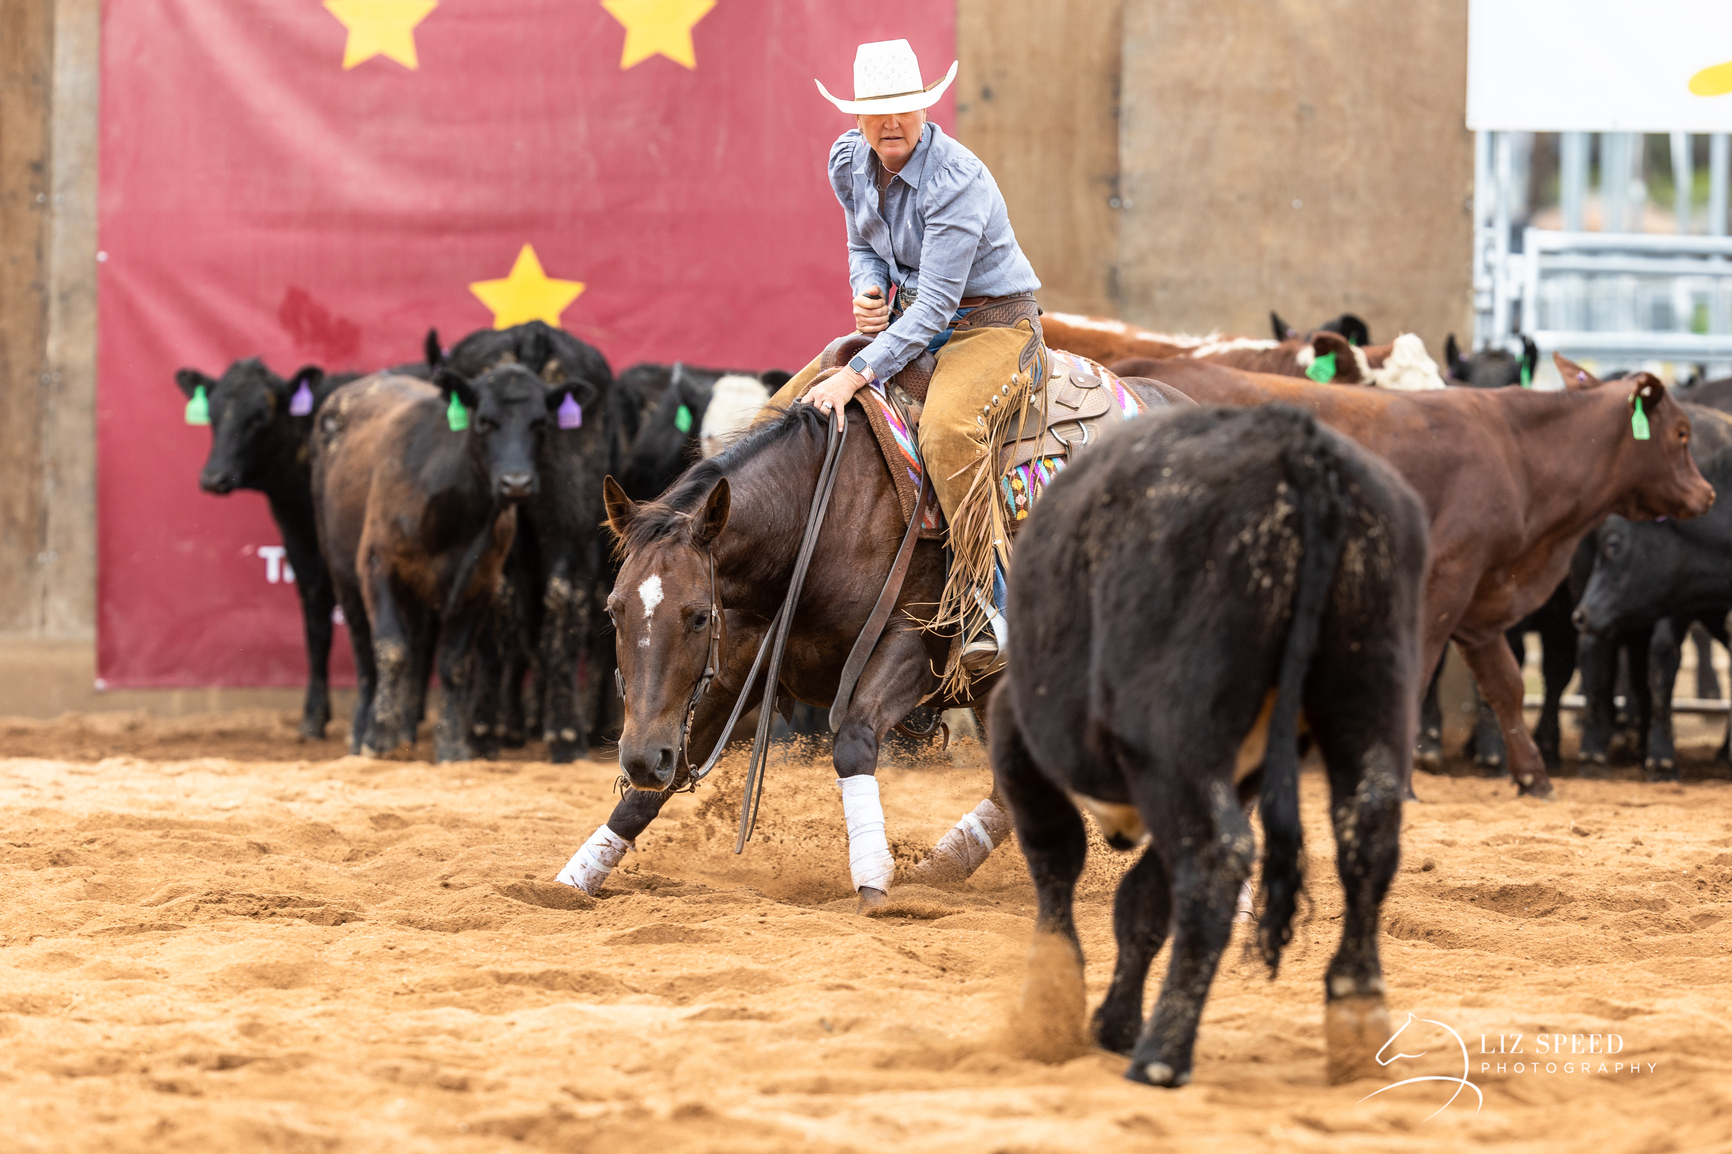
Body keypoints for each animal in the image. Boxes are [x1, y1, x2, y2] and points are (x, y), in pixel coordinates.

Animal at [311, 363, 583, 760]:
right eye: (483, 421)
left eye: (540, 423)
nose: (516, 483)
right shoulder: (377, 568)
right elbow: (391, 650)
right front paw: (380, 738)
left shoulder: (480, 582)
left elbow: (454, 663)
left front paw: (451, 745)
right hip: (342, 574)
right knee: (365, 653)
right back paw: (363, 732)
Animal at [992, 404, 1427, 1088]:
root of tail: (1298, 443)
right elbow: (1142, 901)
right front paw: (1111, 1021)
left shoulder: (1018, 729)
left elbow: (1057, 859)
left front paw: (1052, 1010)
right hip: (1369, 691)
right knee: (1368, 832)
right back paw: (1358, 1026)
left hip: (1174, 743)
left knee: (1218, 859)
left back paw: (1162, 1056)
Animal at [1152, 352, 1716, 799]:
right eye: (1682, 434)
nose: (1707, 493)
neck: (1519, 455)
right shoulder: (1444, 583)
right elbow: (1419, 676)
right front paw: (1401, 784)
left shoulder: (1481, 601)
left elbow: (1507, 685)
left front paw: (1533, 775)